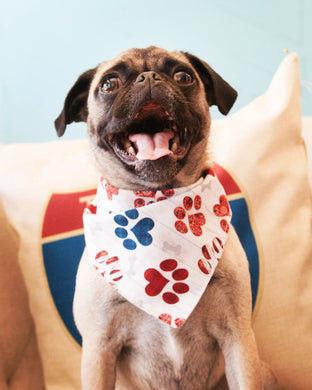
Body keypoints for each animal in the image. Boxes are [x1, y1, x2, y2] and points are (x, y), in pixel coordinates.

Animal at [54, 46, 278, 390]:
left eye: (183, 76)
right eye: (109, 84)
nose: (149, 78)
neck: (156, 203)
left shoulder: (238, 340)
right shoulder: (98, 350)